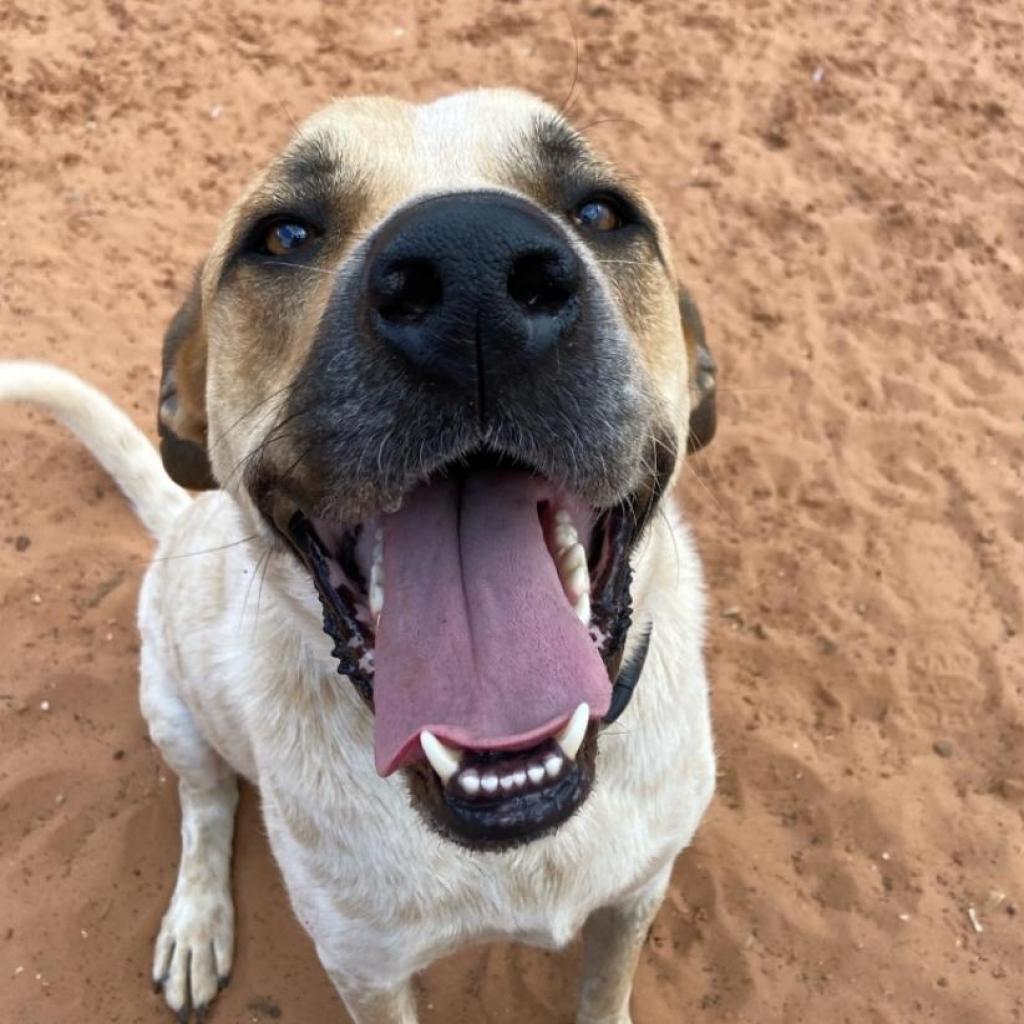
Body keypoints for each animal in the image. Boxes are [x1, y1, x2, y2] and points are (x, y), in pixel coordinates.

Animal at [0, 90, 716, 1024]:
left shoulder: (638, 890)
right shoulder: (364, 969)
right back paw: (197, 919)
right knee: (204, 804)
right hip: (170, 706)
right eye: (282, 235)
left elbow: (605, 989)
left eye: (601, 212)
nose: (472, 272)